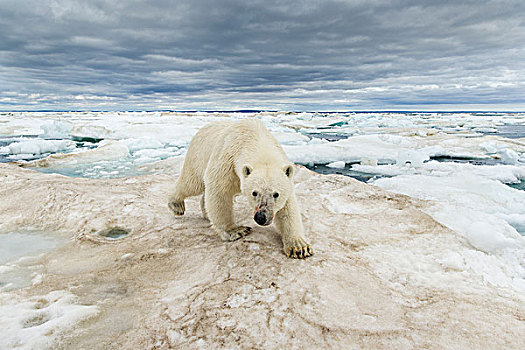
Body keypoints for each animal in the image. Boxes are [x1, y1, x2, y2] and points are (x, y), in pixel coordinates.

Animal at [170, 119, 314, 258]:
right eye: (254, 193)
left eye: (276, 194)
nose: (261, 217)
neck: (256, 138)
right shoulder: (227, 161)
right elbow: (219, 191)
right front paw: (236, 230)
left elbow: (288, 208)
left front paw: (299, 247)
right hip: (198, 156)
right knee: (191, 183)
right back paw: (177, 205)